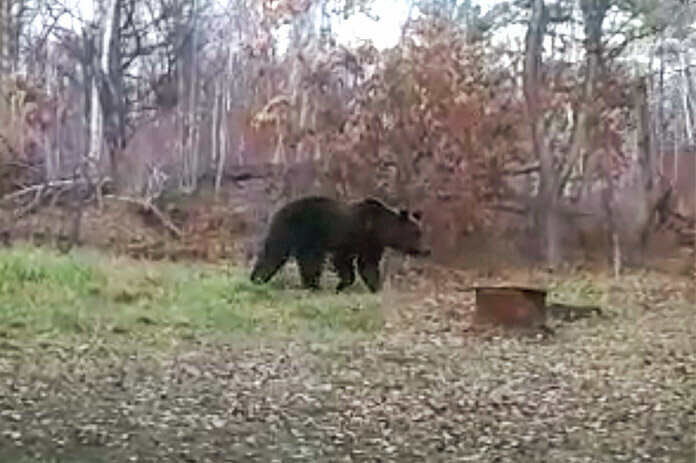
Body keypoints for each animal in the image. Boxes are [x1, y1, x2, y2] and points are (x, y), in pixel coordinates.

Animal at [247, 197, 426, 294]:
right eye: (415, 234)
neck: (378, 228)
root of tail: (280, 210)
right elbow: (345, 261)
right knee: (295, 257)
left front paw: (375, 287)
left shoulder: (370, 245)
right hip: (303, 232)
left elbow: (368, 265)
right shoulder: (353, 237)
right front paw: (342, 284)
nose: (425, 250)